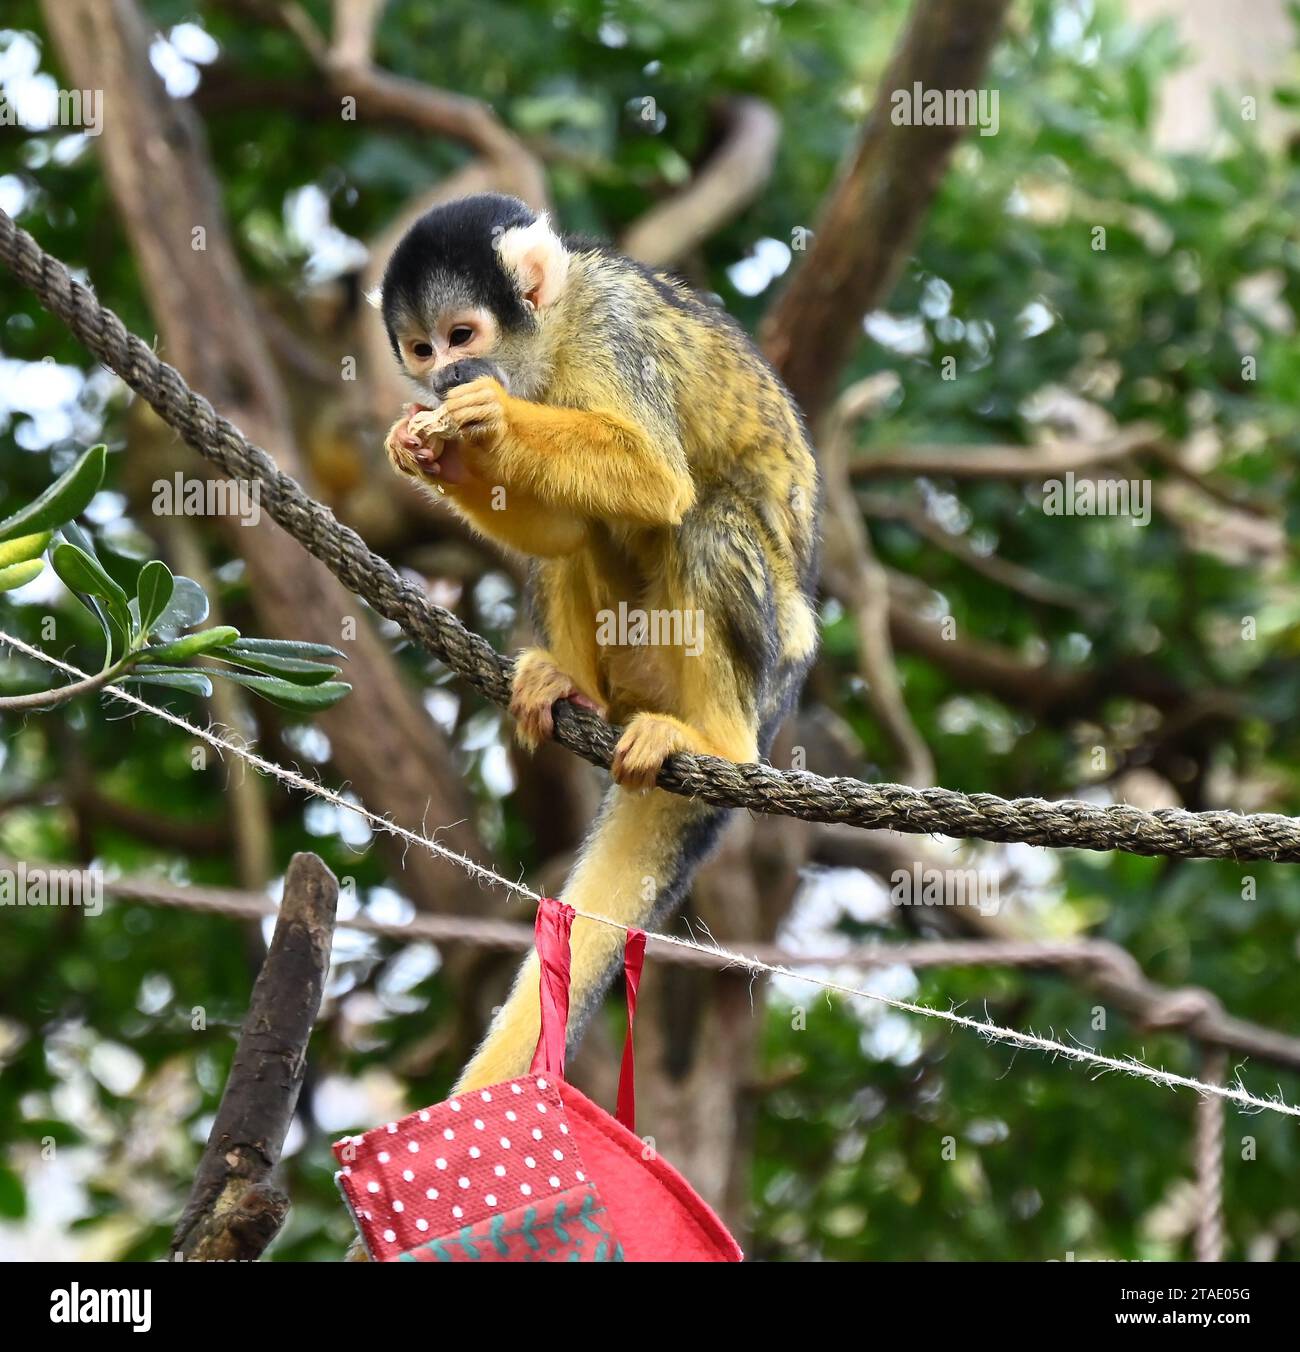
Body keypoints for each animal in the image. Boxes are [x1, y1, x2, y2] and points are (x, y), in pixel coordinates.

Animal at [375, 196, 816, 1092]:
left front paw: (489, 416)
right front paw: (431, 453)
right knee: (576, 541)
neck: (552, 336)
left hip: (769, 655)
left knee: (704, 517)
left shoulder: (614, 334)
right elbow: (563, 528)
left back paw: (714, 740)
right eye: (422, 348)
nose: (442, 378)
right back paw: (568, 688)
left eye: (462, 336)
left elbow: (656, 479)